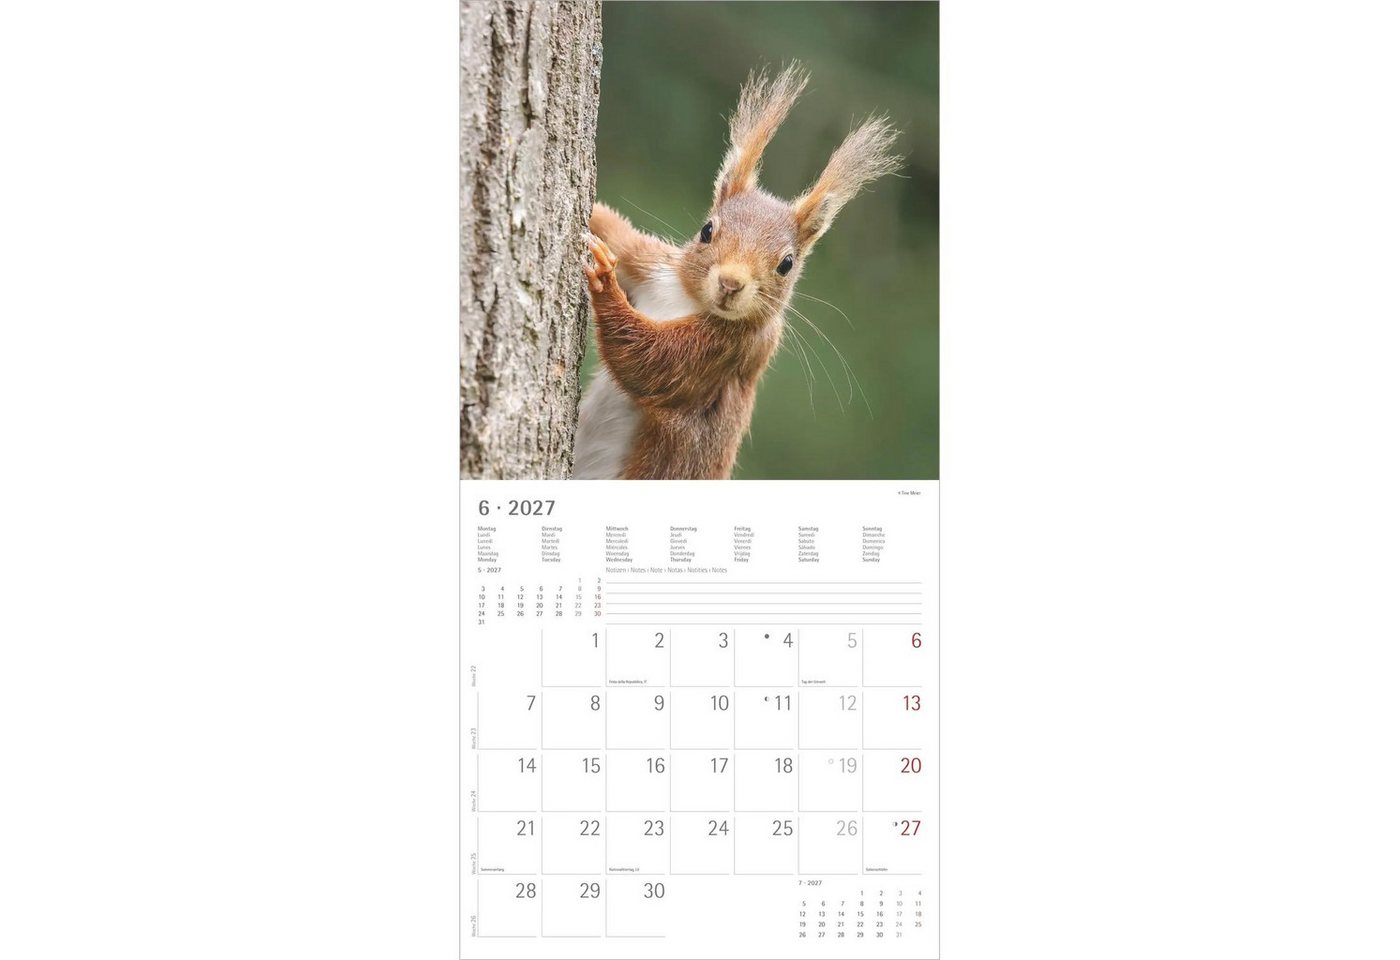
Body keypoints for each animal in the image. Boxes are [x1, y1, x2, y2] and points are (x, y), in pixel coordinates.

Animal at [572, 64, 902, 480]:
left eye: (786, 264)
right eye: (707, 230)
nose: (730, 283)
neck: (686, 298)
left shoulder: (728, 351)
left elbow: (648, 362)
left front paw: (604, 281)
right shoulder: (653, 264)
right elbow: (619, 235)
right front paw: (597, 217)